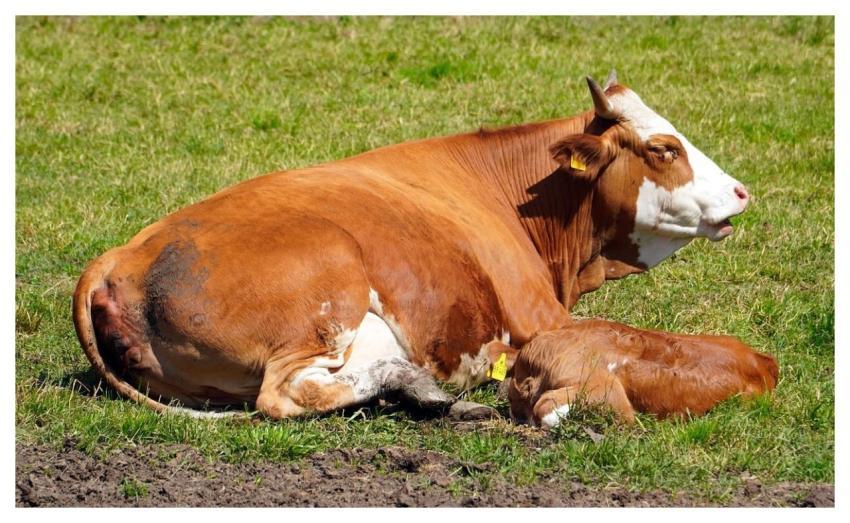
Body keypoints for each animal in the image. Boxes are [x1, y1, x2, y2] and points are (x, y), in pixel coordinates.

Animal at [73, 70, 751, 419]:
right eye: (664, 148)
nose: (742, 192)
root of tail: (119, 256)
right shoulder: (540, 315)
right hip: (327, 286)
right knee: (286, 395)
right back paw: (422, 387)